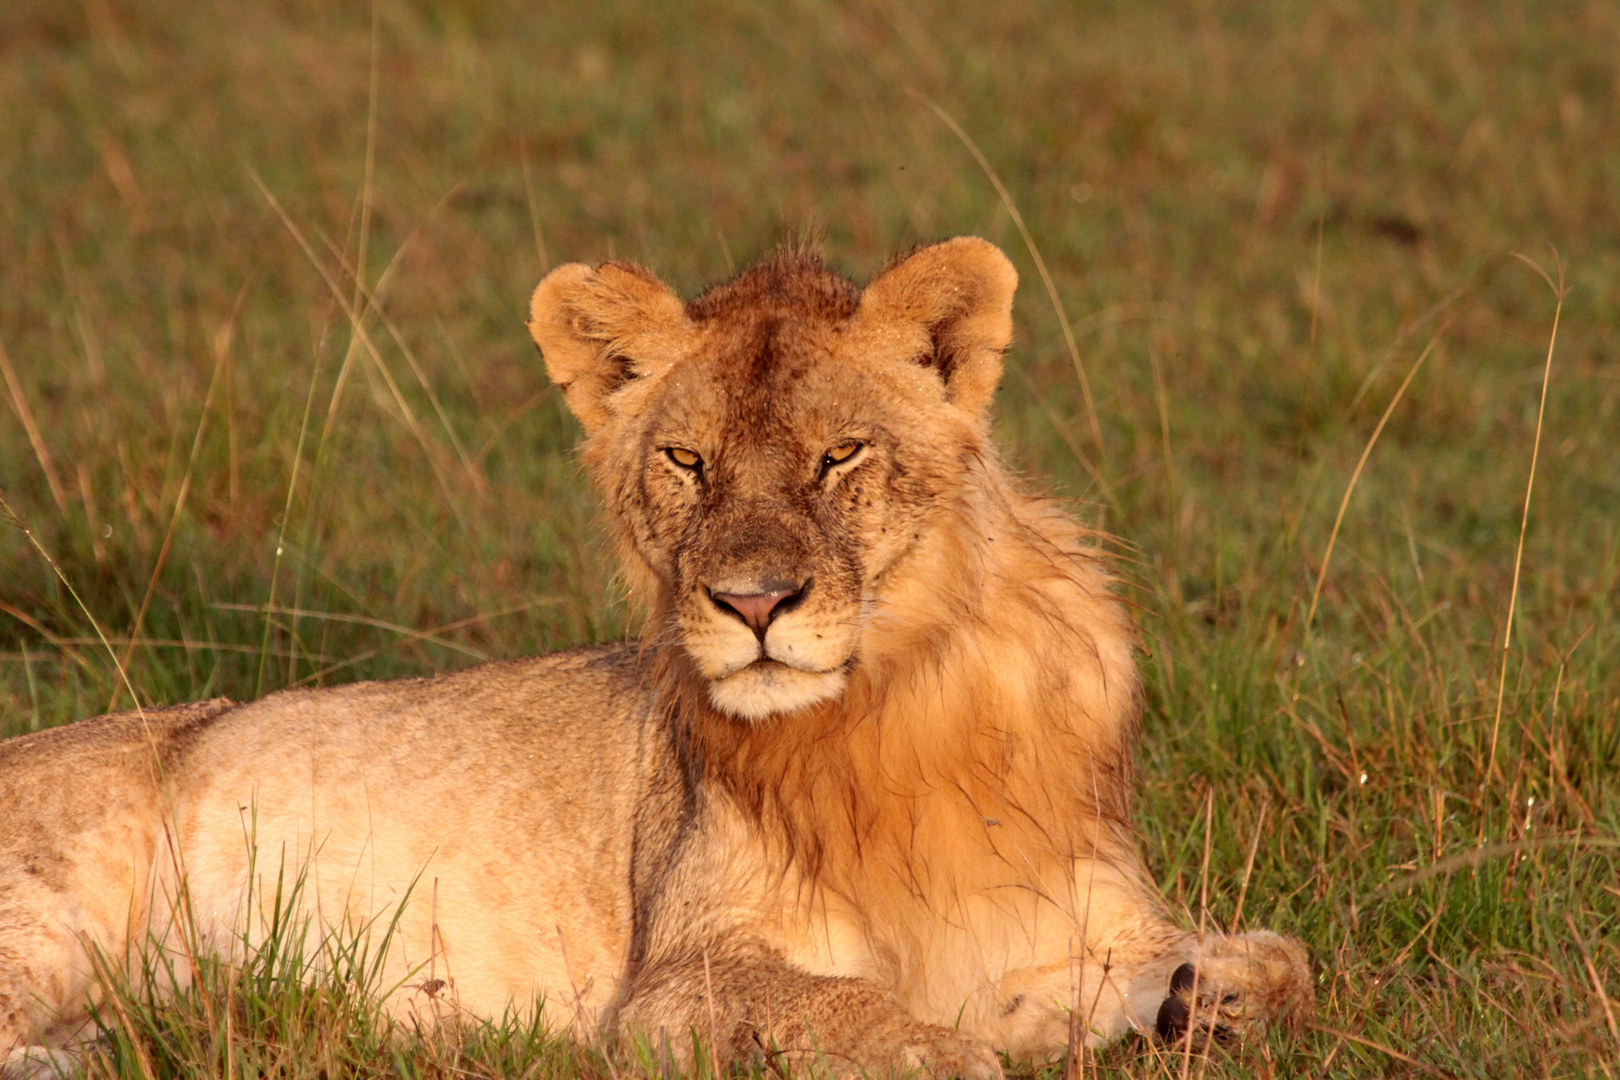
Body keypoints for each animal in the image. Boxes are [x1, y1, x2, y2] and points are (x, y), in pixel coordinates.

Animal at [0, 241, 1315, 1075]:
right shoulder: (674, 983)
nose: (753, 602)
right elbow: (866, 1016)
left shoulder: (1070, 924)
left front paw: (1205, 1002)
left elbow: (1288, 963)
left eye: (840, 454)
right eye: (688, 461)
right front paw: (955, 1050)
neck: (895, 712)